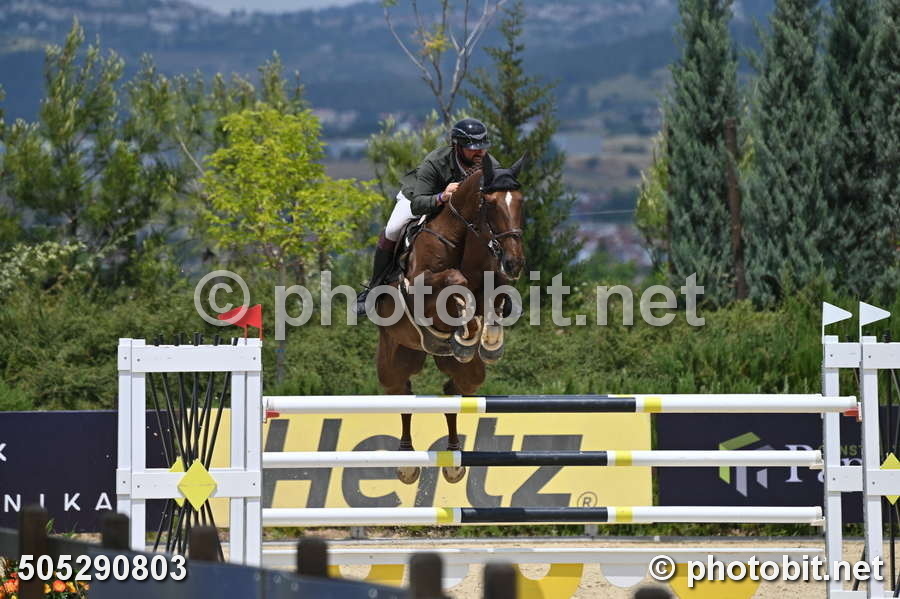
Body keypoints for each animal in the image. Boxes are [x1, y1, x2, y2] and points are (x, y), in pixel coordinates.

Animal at [370, 156, 526, 485]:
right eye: (490, 203)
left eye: (521, 202)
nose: (514, 262)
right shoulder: (420, 289)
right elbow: (456, 282)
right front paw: (469, 325)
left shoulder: (495, 279)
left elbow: (496, 292)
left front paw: (488, 339)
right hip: (394, 358)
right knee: (402, 393)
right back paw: (407, 463)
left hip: (466, 372)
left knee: (452, 393)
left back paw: (454, 458)